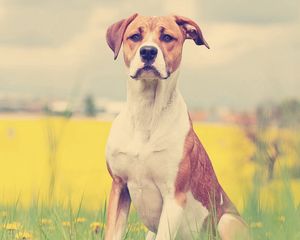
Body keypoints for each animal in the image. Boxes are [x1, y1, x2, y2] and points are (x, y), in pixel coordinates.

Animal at [104, 13, 250, 240]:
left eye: (167, 37)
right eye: (135, 36)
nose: (148, 51)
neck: (147, 112)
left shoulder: (173, 196)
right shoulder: (119, 187)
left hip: (227, 221)